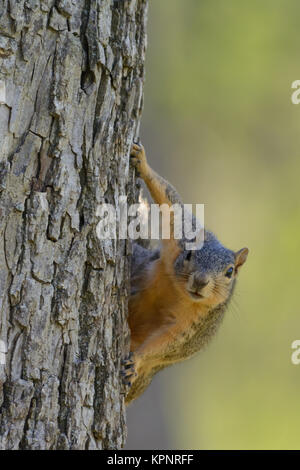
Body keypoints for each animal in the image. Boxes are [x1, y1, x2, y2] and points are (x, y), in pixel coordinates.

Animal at [122, 142, 248, 404]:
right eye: (189, 254)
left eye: (230, 271)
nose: (200, 281)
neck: (178, 293)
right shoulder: (176, 244)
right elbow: (173, 207)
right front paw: (142, 163)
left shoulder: (191, 327)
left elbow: (166, 345)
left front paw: (135, 360)